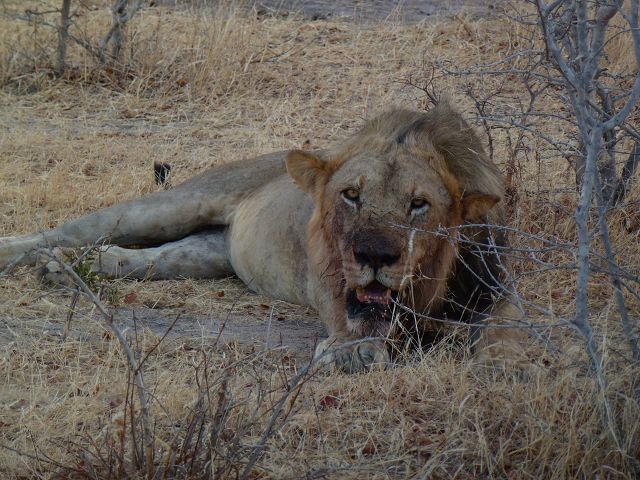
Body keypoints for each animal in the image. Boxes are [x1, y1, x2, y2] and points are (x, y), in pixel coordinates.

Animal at [0, 101, 525, 372]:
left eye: (419, 204)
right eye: (351, 194)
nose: (374, 255)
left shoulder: (497, 283)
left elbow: (509, 323)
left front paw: (507, 365)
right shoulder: (330, 274)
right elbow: (350, 315)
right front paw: (354, 352)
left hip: (204, 252)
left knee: (146, 259)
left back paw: (66, 267)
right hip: (174, 205)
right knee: (71, 229)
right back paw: (30, 257)